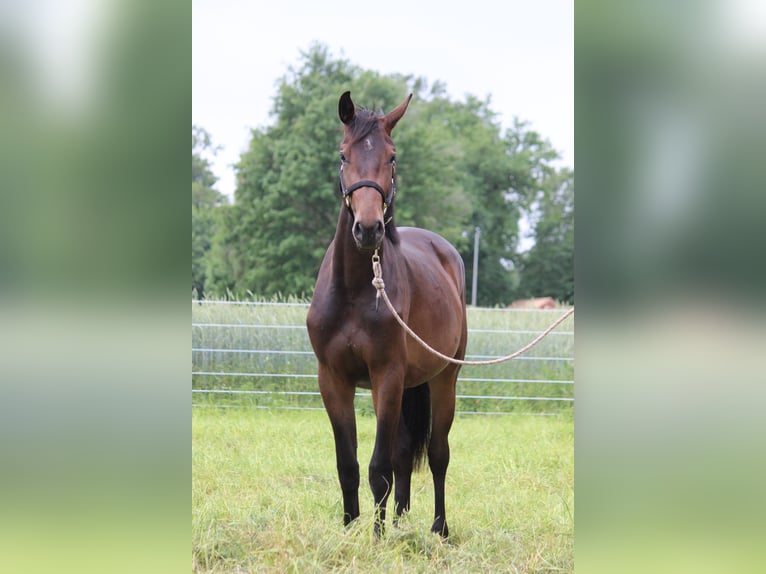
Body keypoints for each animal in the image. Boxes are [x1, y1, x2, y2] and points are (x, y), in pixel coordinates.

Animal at [306, 91, 468, 540]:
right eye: (342, 155)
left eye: (392, 157)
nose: (368, 229)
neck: (354, 291)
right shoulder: (333, 380)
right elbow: (348, 464)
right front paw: (350, 530)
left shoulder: (387, 377)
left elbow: (378, 468)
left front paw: (376, 539)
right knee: (403, 455)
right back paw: (400, 522)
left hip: (443, 379)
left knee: (436, 454)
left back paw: (438, 529)